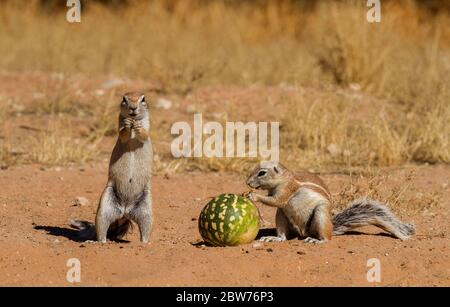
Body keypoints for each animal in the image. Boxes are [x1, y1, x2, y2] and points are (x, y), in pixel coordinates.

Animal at [70, 92, 154, 244]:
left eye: (143, 99)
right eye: (124, 99)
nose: (133, 108)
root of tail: (125, 211)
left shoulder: (147, 127)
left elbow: (144, 134)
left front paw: (138, 127)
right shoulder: (120, 128)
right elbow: (122, 134)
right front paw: (127, 125)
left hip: (146, 211)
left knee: (145, 231)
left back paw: (146, 243)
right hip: (104, 207)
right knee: (102, 230)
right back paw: (97, 242)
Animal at [246, 162, 414, 244]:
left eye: (261, 173)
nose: (247, 183)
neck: (283, 178)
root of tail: (304, 232)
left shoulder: (286, 190)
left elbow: (277, 201)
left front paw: (254, 196)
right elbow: (275, 202)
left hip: (320, 213)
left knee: (327, 238)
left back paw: (318, 240)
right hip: (282, 214)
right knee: (283, 228)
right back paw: (275, 238)